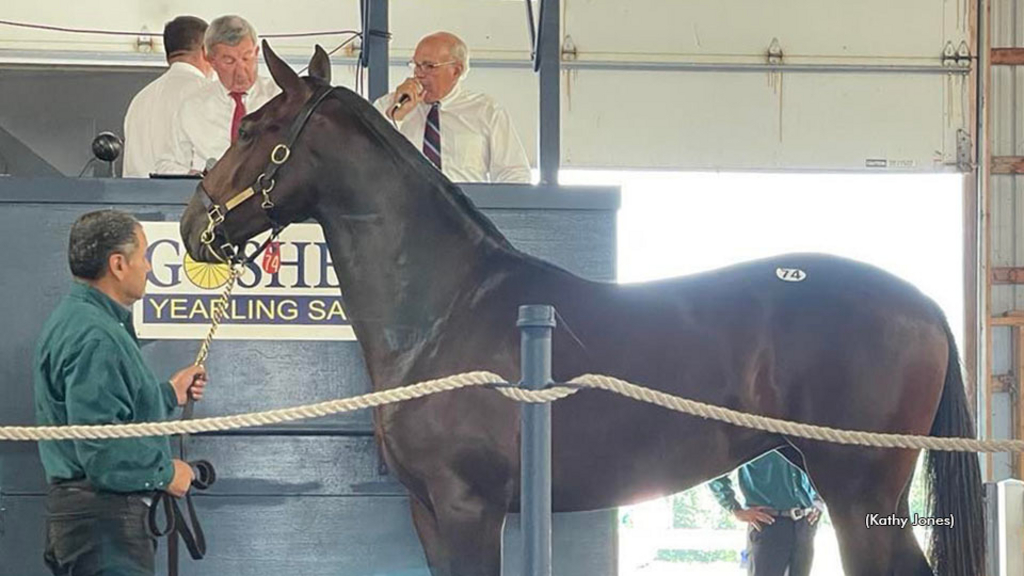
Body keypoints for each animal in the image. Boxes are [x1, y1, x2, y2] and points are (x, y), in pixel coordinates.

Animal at [180, 43, 987, 573]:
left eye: (252, 130)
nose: (193, 227)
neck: (445, 310)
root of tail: (922, 300)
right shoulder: (429, 513)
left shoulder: (470, 509)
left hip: (859, 497)